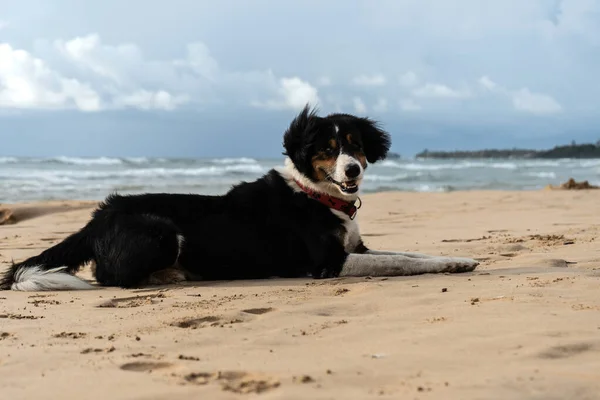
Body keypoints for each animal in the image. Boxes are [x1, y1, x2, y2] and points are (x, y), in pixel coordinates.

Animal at [0, 104, 478, 292]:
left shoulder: (357, 247)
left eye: (355, 145)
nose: (353, 171)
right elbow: (399, 262)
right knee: (111, 276)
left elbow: (413, 253)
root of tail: (100, 214)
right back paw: (171, 275)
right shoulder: (328, 263)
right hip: (162, 231)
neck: (316, 195)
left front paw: (458, 261)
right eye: (326, 149)